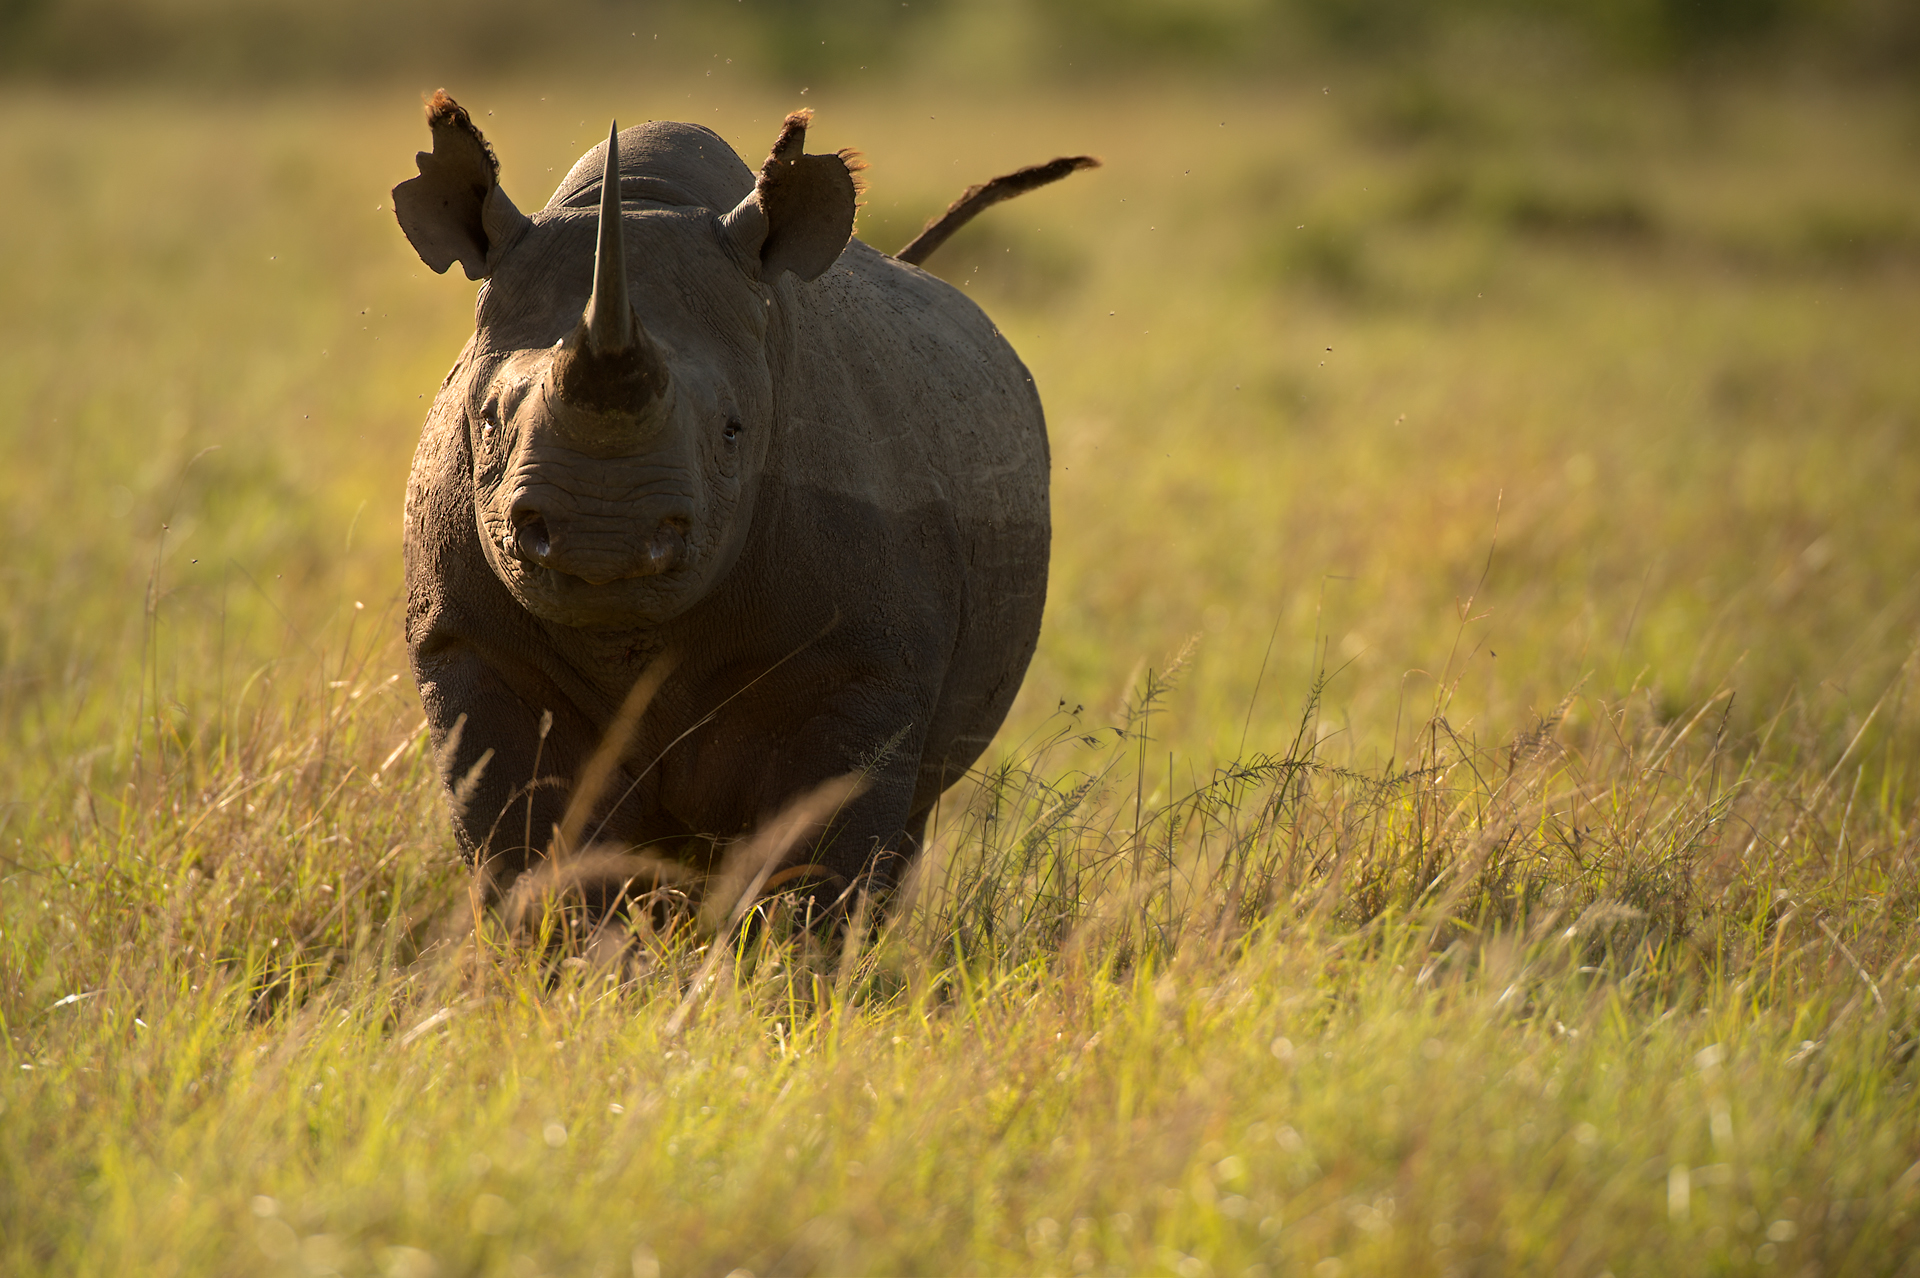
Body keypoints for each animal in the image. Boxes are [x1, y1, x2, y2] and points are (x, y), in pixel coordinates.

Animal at [393, 91, 1094, 918]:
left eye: (734, 431)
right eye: (489, 420)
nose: (601, 539)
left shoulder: (862, 664)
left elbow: (822, 868)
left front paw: (804, 951)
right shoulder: (472, 642)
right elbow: (533, 852)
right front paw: (559, 947)